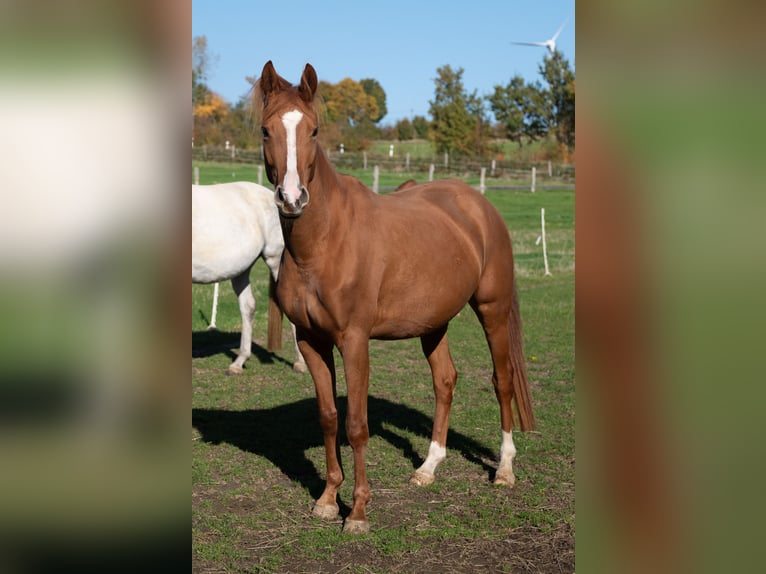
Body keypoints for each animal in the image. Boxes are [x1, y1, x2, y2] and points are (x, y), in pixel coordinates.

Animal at [256, 62, 536, 536]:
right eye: (264, 130)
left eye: (313, 130)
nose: (292, 199)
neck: (322, 244)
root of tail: (477, 204)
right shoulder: (312, 341)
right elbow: (329, 417)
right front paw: (328, 500)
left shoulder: (354, 341)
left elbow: (357, 425)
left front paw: (358, 512)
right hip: (433, 323)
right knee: (445, 380)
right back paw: (428, 467)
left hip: (492, 310)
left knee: (502, 381)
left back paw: (505, 470)